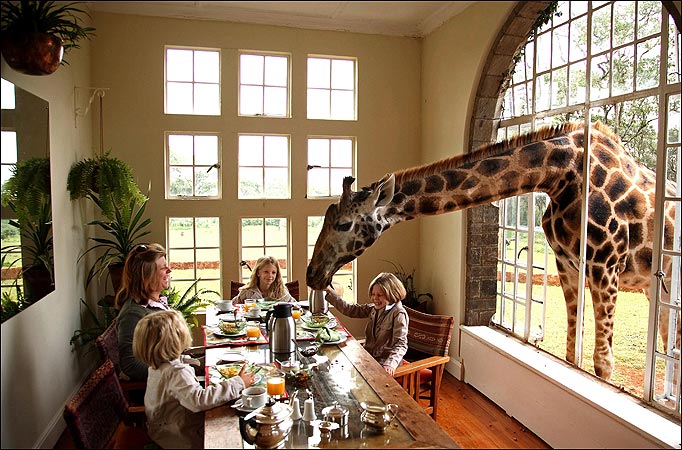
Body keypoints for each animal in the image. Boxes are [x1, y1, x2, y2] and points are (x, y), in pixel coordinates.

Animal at [307, 121, 679, 380]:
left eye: (344, 224)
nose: (312, 274)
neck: (561, 175)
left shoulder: (605, 267)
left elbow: (602, 365)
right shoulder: (568, 267)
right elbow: (572, 348)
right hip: (658, 288)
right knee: (667, 339)